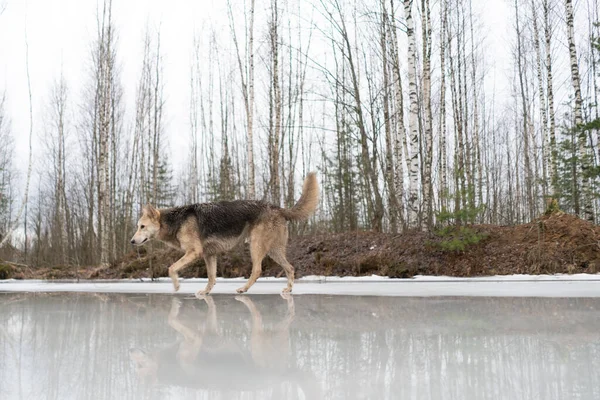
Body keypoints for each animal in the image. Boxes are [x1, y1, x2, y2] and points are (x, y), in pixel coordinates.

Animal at [130, 173, 318, 296]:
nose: (131, 241)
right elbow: (211, 277)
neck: (176, 221)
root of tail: (277, 208)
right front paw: (205, 292)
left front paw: (176, 286)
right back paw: (288, 289)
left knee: (257, 270)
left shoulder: (194, 252)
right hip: (274, 251)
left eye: (142, 226)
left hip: (256, 247)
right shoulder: (209, 255)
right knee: (290, 268)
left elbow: (171, 268)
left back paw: (243, 289)